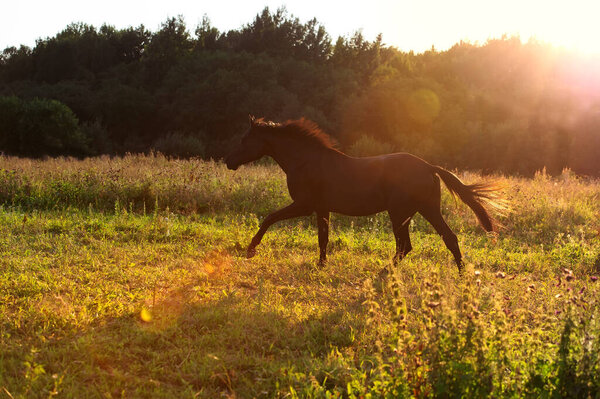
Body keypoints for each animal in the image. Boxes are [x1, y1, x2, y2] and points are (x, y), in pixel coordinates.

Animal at [225, 115, 502, 272]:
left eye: (244, 139)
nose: (228, 161)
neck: (305, 161)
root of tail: (429, 166)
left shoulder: (304, 205)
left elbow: (269, 218)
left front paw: (250, 250)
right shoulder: (321, 208)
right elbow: (323, 238)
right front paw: (321, 266)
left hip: (400, 213)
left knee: (406, 245)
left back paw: (384, 272)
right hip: (425, 210)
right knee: (448, 238)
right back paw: (462, 275)